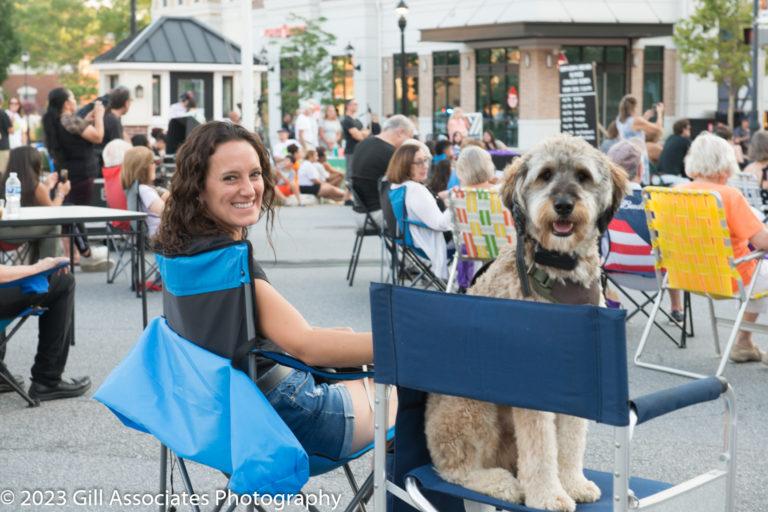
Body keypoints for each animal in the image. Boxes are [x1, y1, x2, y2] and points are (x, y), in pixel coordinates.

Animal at [424, 134, 628, 510]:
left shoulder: (577, 381)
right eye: (545, 175)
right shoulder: (532, 385)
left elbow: (570, 440)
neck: (559, 271)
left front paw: (572, 483)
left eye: (582, 176)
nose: (563, 205)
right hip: (472, 407)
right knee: (454, 468)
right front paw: (548, 495)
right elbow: (541, 447)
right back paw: (501, 483)